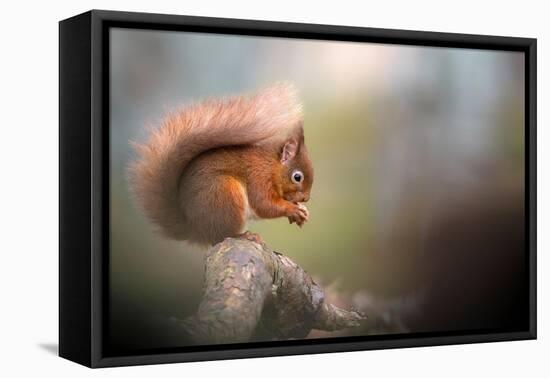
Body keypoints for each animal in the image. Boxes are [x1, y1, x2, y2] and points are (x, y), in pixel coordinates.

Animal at [127, 83, 312, 245]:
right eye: (297, 177)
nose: (306, 198)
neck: (272, 166)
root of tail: (196, 229)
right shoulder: (259, 176)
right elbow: (263, 204)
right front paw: (293, 209)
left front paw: (302, 210)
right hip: (225, 193)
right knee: (222, 236)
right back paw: (244, 236)